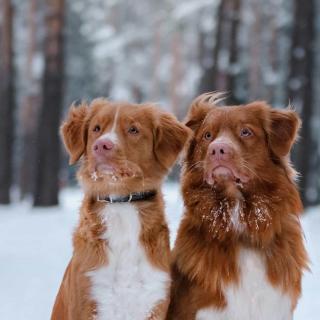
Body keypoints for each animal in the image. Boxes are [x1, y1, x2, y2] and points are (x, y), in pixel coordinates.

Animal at [50, 98, 190, 320]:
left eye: (133, 130)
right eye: (96, 128)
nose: (101, 145)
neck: (121, 203)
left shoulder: (155, 298)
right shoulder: (89, 294)